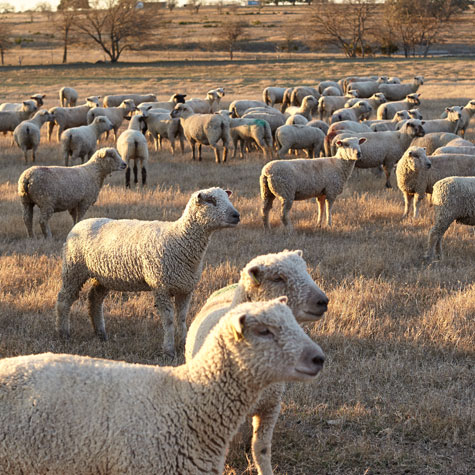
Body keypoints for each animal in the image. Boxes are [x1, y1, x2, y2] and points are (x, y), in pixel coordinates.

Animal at [56, 186, 242, 356]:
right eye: (211, 201)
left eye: (227, 197)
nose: (236, 215)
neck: (179, 240)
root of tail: (79, 224)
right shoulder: (161, 286)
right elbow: (168, 320)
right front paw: (169, 350)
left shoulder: (185, 288)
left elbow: (182, 318)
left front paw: (183, 344)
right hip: (74, 268)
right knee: (64, 298)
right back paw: (63, 333)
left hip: (103, 277)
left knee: (94, 298)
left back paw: (101, 334)